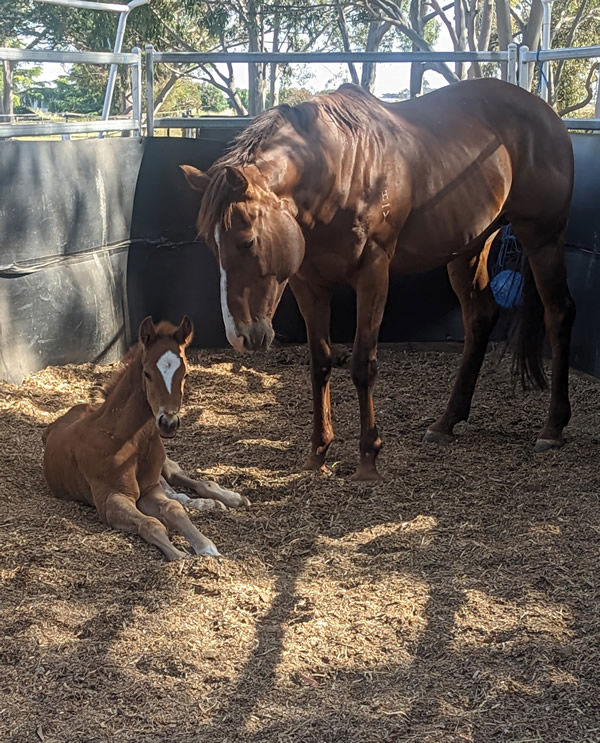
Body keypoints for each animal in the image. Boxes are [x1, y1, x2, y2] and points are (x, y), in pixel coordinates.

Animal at [42, 316, 248, 564]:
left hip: (165, 464)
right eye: (148, 373)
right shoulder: (112, 499)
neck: (125, 440)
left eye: (186, 374)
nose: (168, 423)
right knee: (177, 492)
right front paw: (181, 556)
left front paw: (207, 548)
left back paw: (231, 498)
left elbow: (173, 509)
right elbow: (152, 522)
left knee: (185, 481)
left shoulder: (150, 489)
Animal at [180, 77, 576, 482]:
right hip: (468, 248)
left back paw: (553, 427)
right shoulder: (309, 284)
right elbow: (320, 363)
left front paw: (368, 456)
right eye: (212, 246)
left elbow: (362, 364)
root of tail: (545, 113)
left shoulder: (372, 274)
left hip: (542, 238)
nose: (239, 336)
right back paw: (447, 421)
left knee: (558, 313)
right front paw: (318, 451)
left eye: (247, 241)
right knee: (479, 318)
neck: (337, 168)